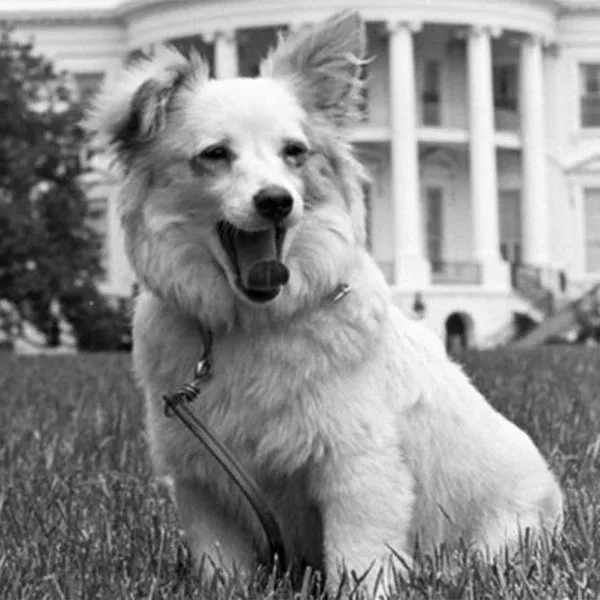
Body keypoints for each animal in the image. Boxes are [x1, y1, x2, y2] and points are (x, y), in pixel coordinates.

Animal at [88, 10, 564, 596]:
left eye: (295, 152)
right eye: (214, 154)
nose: (277, 201)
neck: (252, 323)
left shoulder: (360, 471)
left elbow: (357, 565)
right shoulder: (204, 483)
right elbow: (223, 570)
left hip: (504, 533)